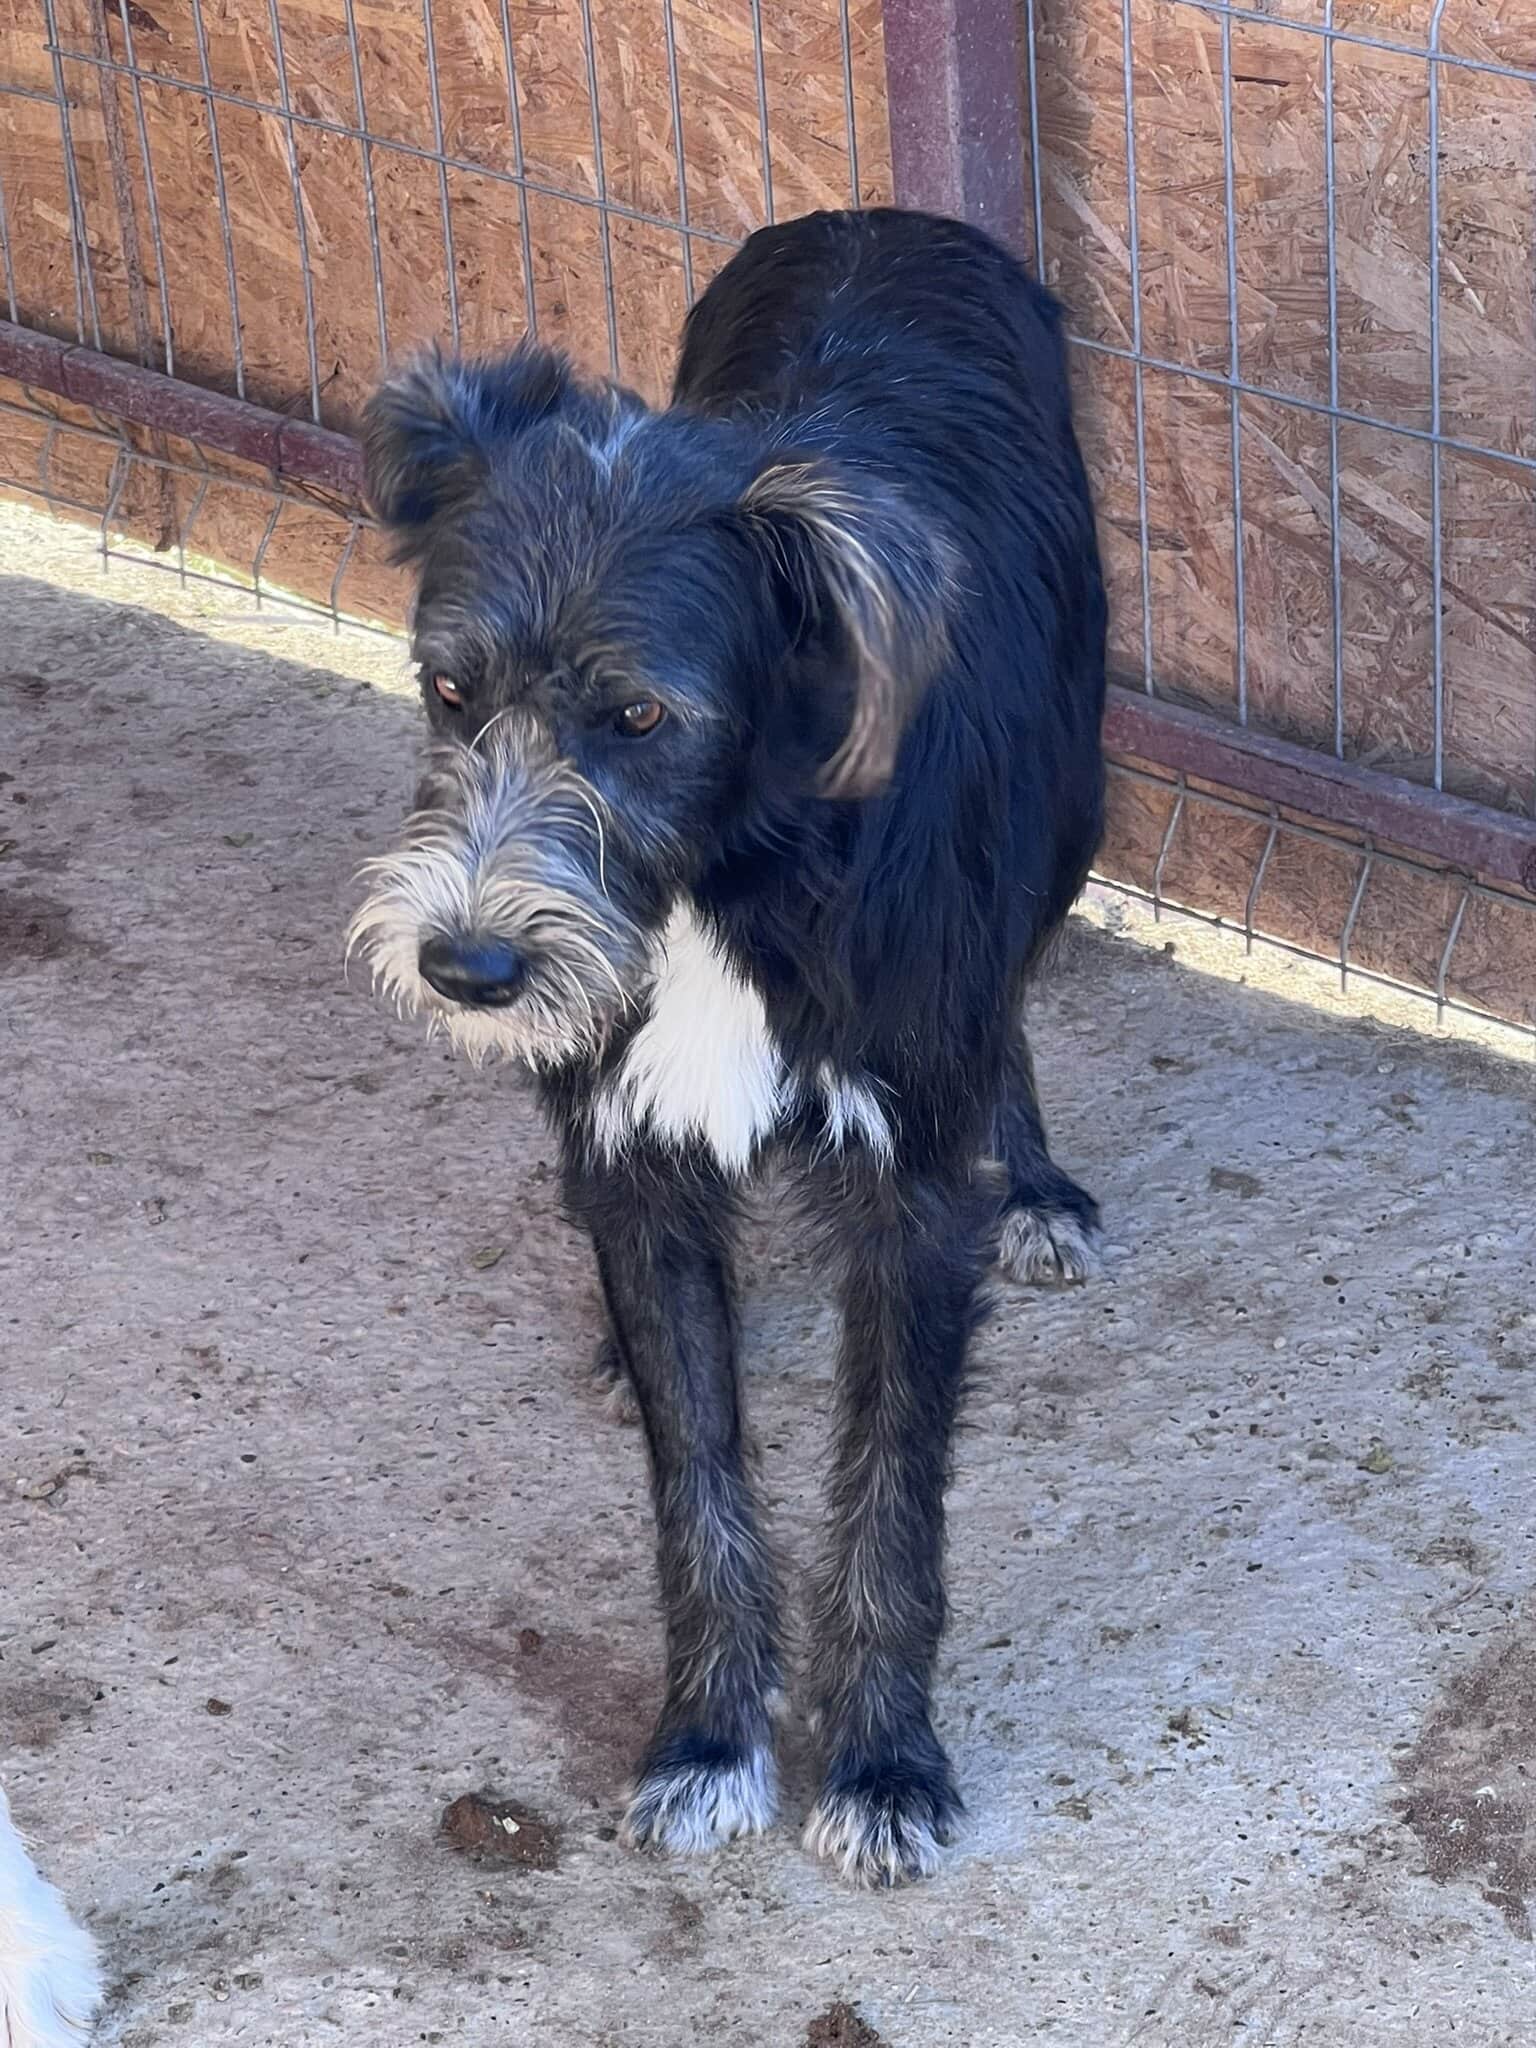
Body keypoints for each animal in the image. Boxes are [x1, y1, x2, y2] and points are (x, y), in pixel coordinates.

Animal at [350, 207, 1106, 1885]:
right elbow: (696, 1479)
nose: (467, 969)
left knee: (1019, 995)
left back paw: (1033, 1182)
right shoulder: (631, 1150)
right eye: (447, 687)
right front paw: (707, 1738)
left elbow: (891, 1498)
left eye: (639, 715)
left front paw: (885, 1764)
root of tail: (884, 219)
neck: (731, 869)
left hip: (1073, 807)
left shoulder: (904, 1177)